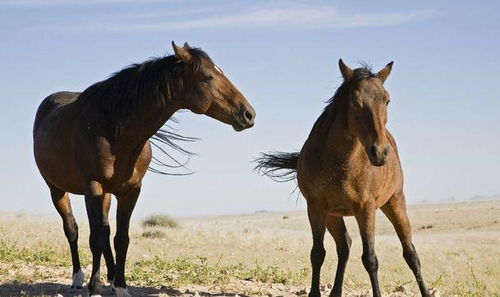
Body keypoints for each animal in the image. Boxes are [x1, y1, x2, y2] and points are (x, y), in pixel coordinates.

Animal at [33, 41, 256, 296]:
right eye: (208, 76)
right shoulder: (93, 187)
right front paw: (94, 286)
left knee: (106, 230)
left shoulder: (130, 190)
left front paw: (120, 285)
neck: (114, 130)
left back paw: (110, 276)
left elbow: (121, 238)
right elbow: (95, 237)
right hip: (57, 189)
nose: (248, 113)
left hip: (106, 194)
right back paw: (78, 278)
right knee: (72, 229)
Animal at [256, 60, 432, 296]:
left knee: (410, 253)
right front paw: (314, 293)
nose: (380, 152)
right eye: (355, 102)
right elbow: (317, 253)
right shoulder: (316, 207)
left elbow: (370, 259)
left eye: (387, 100)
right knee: (344, 245)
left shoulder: (366, 208)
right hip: (333, 215)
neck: (342, 163)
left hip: (394, 202)